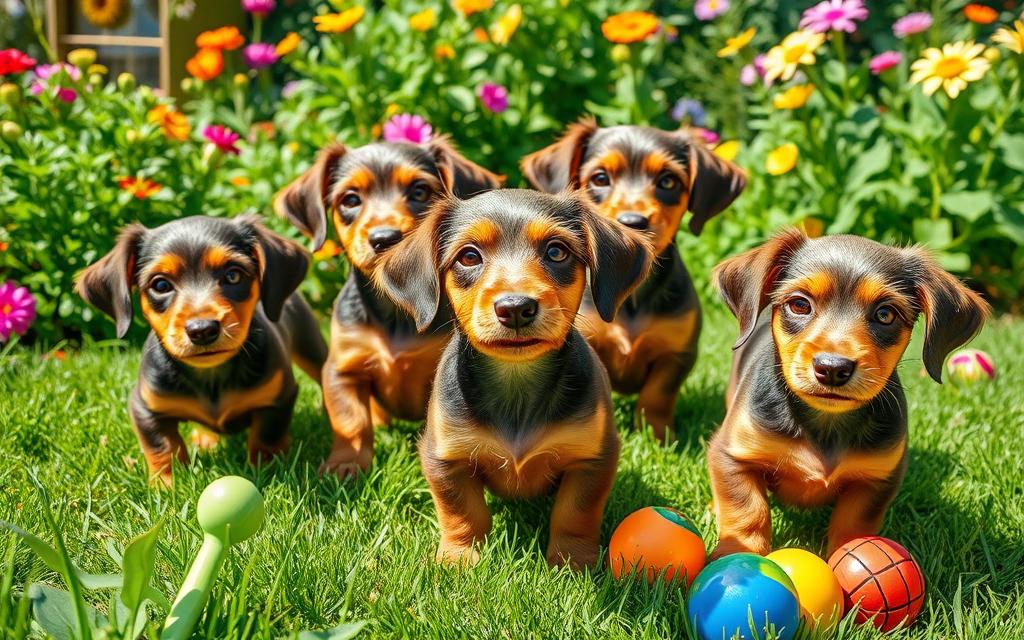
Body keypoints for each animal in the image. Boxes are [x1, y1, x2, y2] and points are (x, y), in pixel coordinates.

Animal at [77, 216, 325, 483]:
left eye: (233, 275)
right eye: (161, 285)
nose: (203, 330)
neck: (211, 375)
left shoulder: (279, 398)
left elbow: (266, 439)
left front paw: (267, 472)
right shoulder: (145, 407)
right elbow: (163, 446)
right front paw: (168, 484)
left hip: (310, 346)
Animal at [274, 137, 501, 477]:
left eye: (419, 191)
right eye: (350, 199)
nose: (384, 238)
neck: (394, 307)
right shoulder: (343, 369)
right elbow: (351, 421)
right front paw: (346, 464)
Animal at [374, 189, 647, 569]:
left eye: (556, 251)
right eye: (469, 256)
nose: (516, 307)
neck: (516, 384)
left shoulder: (593, 458)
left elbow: (575, 514)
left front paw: (571, 562)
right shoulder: (444, 457)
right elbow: (462, 512)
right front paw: (459, 559)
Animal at [524, 118, 749, 438]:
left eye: (668, 181)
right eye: (600, 178)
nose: (632, 222)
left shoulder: (676, 354)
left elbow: (656, 396)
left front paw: (657, 436)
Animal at [708, 228, 987, 552]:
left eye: (885, 314)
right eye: (800, 305)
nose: (832, 368)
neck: (826, 423)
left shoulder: (877, 478)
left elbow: (853, 525)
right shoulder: (731, 454)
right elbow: (747, 511)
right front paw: (736, 555)